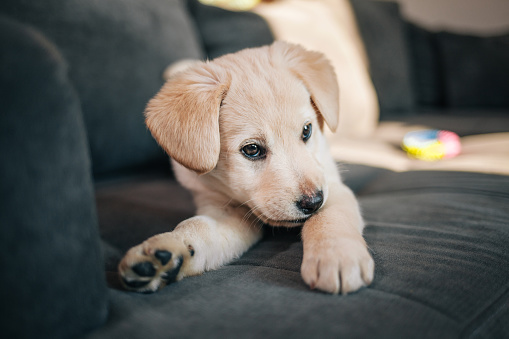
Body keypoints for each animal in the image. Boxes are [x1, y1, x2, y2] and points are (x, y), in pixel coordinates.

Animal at [118, 40, 374, 294]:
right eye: (252, 149)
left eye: (306, 131)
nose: (313, 202)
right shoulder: (223, 209)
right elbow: (198, 226)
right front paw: (166, 253)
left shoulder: (331, 183)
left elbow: (330, 217)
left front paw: (337, 255)